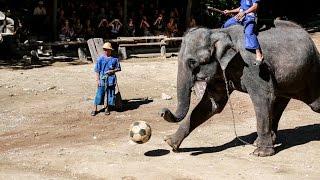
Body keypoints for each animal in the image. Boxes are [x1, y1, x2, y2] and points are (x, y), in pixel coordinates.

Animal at [160, 19, 320, 156]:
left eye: (192, 62)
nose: (162, 112)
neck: (219, 32)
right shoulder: (221, 72)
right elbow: (212, 104)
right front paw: (170, 143)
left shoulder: (253, 67)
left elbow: (262, 98)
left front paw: (261, 154)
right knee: (280, 102)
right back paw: (260, 141)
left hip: (309, 71)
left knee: (311, 104)